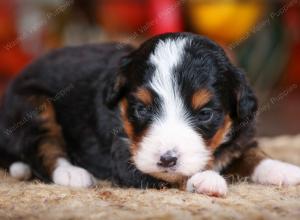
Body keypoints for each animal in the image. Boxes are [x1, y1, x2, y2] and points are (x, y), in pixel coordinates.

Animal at [0, 32, 300, 196]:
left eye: (205, 113)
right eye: (141, 109)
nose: (166, 159)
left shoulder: (240, 136)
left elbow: (253, 155)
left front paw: (283, 169)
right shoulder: (125, 156)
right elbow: (172, 178)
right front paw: (205, 179)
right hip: (34, 105)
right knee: (44, 147)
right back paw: (72, 173)